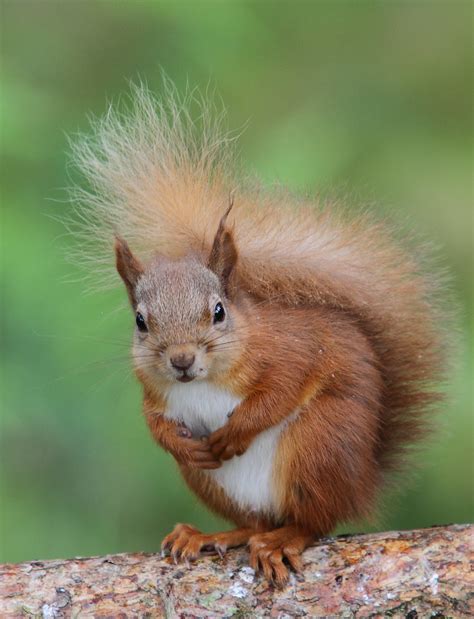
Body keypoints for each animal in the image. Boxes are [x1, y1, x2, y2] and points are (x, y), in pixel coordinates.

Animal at [69, 86, 448, 588]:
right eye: (140, 322)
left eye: (218, 312)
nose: (181, 360)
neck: (206, 380)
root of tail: (362, 484)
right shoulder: (154, 392)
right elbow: (153, 422)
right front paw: (179, 442)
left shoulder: (293, 351)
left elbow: (279, 392)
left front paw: (235, 432)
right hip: (211, 482)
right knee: (254, 522)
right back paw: (212, 534)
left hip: (318, 445)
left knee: (313, 521)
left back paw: (283, 539)